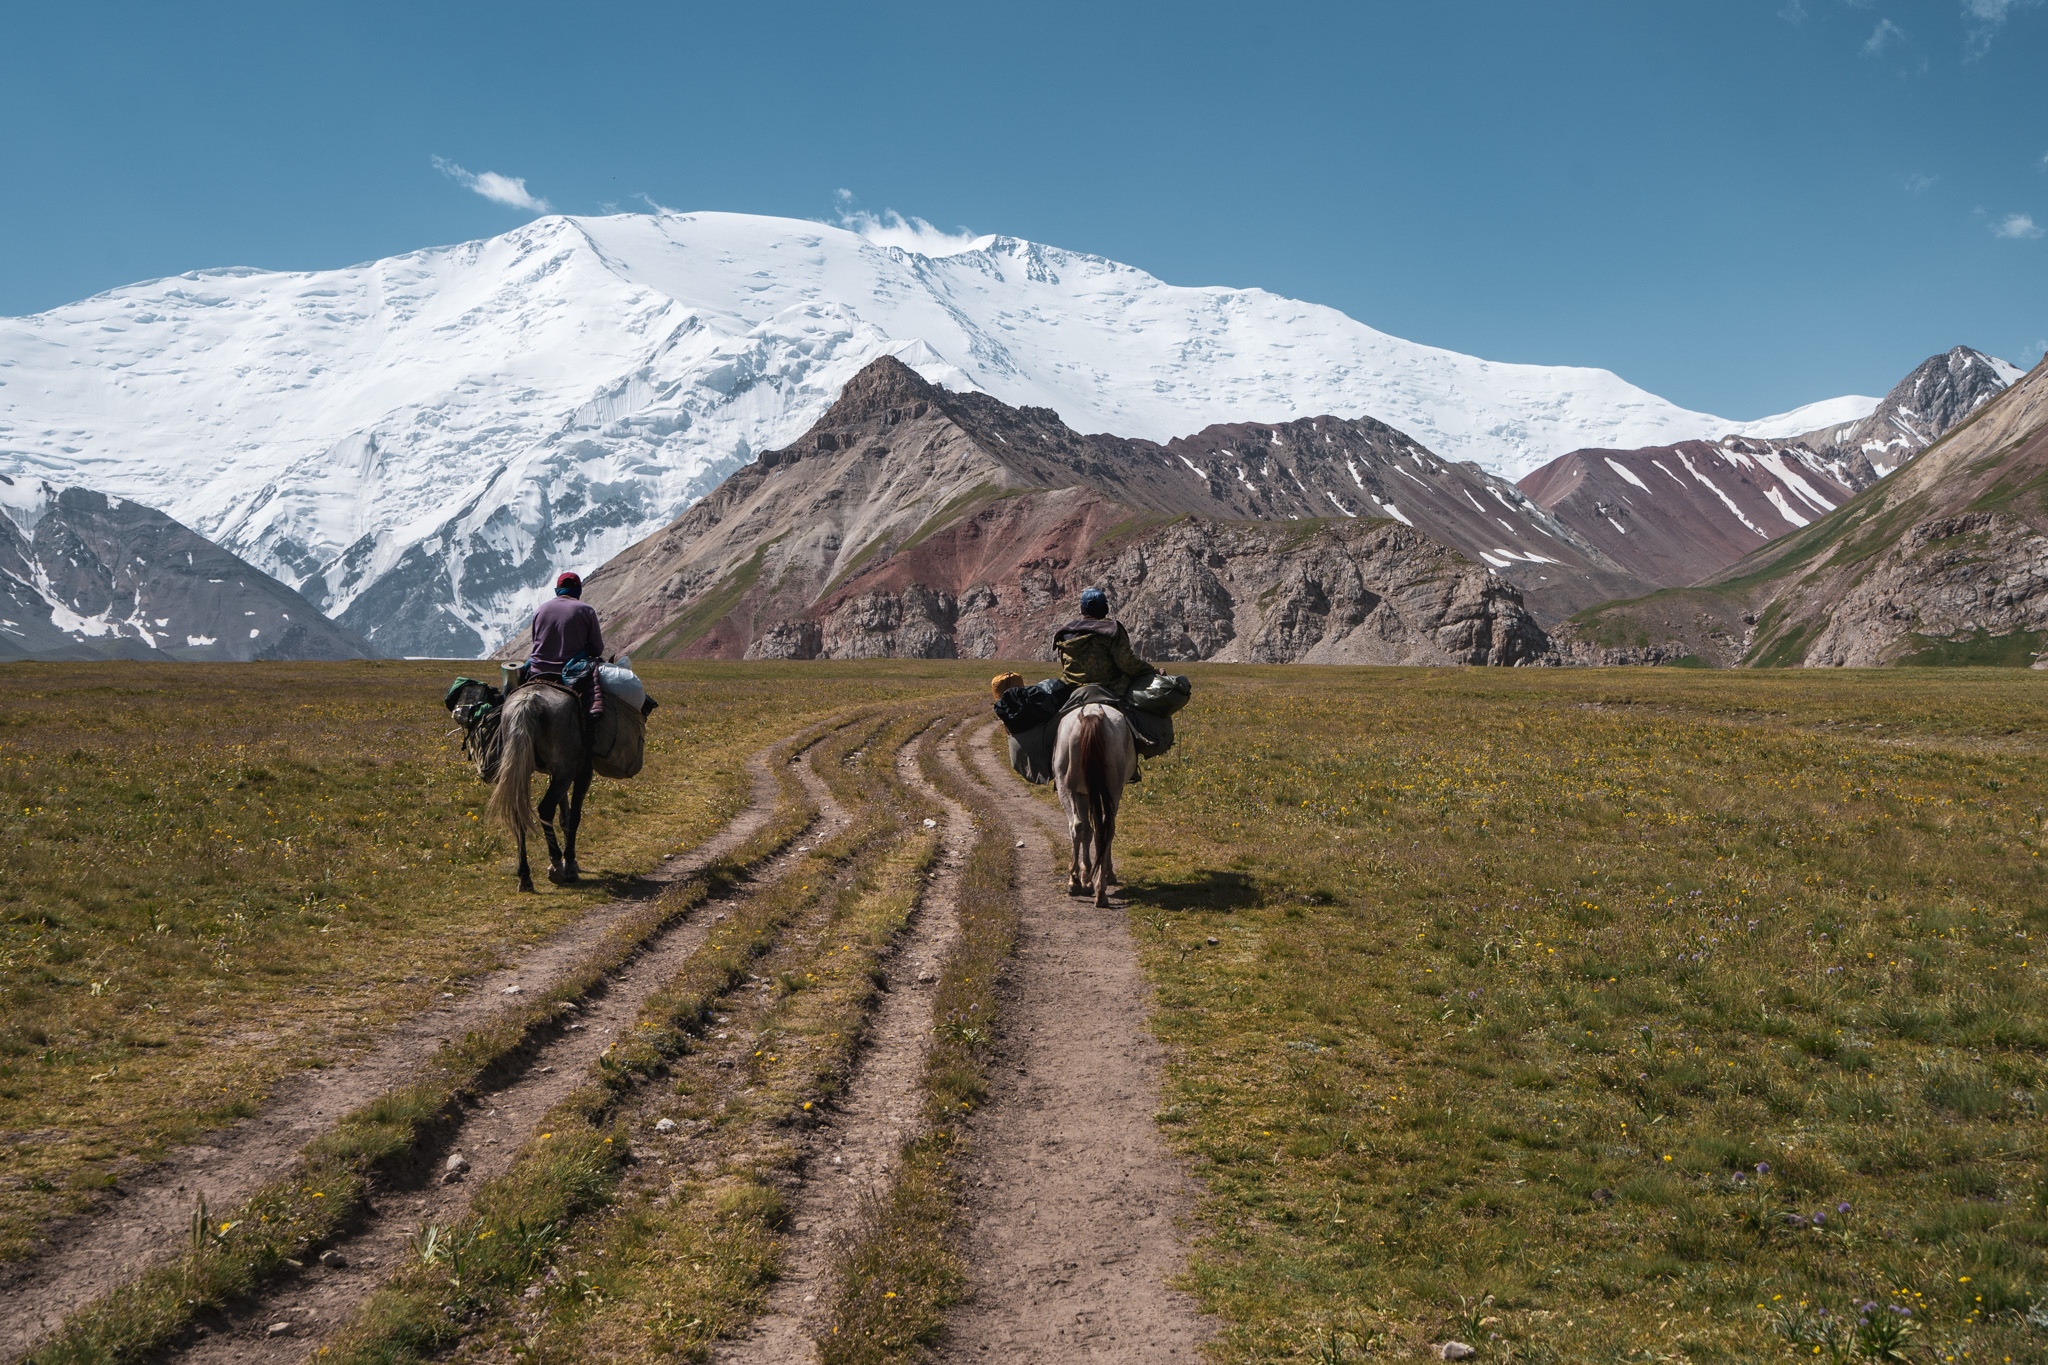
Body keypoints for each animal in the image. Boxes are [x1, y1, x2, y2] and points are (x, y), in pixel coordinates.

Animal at [485, 683, 593, 896]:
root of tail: (530, 700)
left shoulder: (556, 774)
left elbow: (565, 816)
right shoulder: (580, 774)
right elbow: (573, 817)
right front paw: (570, 865)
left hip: (522, 768)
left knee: (518, 814)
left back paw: (525, 876)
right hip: (565, 771)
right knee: (545, 808)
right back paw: (556, 864)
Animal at [1056, 703, 1138, 908]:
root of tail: (1092, 715)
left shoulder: (1082, 793)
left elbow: (1086, 830)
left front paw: (1084, 879)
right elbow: (1093, 830)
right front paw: (1099, 875)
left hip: (1065, 786)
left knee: (1076, 826)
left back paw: (1074, 882)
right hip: (1113, 788)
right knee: (1106, 828)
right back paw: (1101, 891)